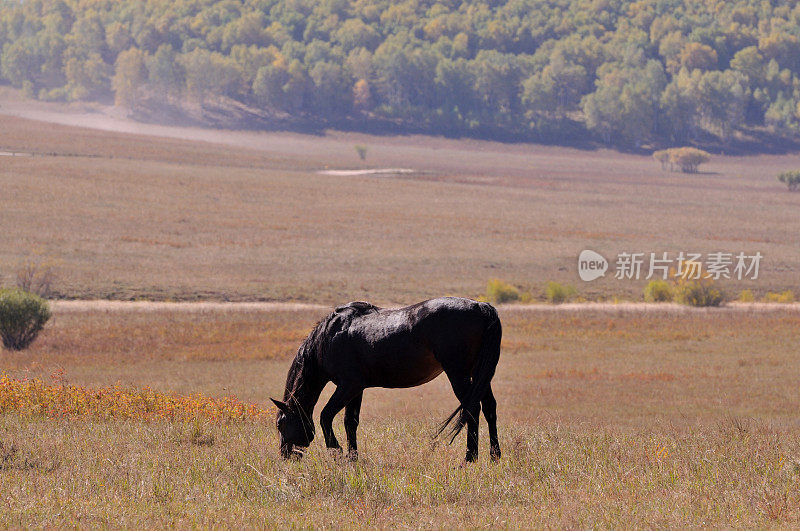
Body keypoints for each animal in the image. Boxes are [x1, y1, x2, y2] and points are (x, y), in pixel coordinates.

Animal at [272, 298, 504, 464]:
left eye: (280, 423)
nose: (285, 455)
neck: (330, 337)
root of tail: (481, 306)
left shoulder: (348, 386)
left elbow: (325, 416)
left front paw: (337, 451)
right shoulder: (357, 389)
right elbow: (350, 422)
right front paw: (353, 457)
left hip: (459, 374)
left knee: (472, 409)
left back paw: (470, 457)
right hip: (480, 374)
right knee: (489, 407)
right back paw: (494, 456)